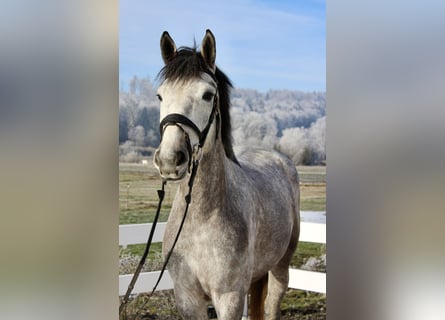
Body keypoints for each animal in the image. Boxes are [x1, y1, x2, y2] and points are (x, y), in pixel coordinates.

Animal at [153, 28, 302, 318]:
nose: (169, 159)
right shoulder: (188, 300)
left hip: (280, 266)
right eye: (160, 95)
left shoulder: (229, 297)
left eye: (207, 95)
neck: (202, 218)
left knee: (272, 303)